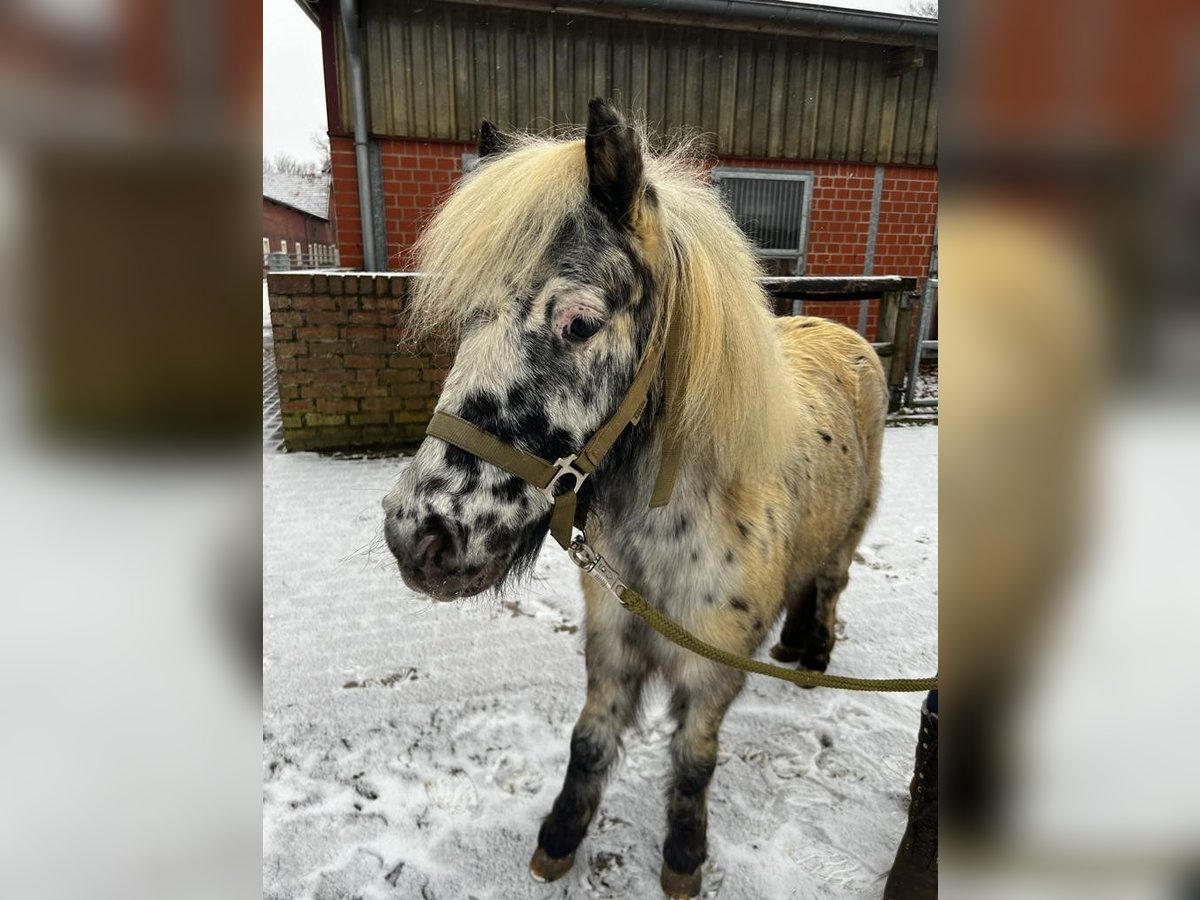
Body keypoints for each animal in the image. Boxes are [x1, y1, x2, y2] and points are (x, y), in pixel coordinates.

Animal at [384, 100, 892, 900]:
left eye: (579, 322)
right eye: (468, 320)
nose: (419, 536)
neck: (668, 535)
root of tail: (850, 335)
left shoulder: (710, 673)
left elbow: (694, 758)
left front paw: (683, 857)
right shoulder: (612, 647)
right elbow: (590, 742)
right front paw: (559, 840)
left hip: (852, 531)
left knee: (831, 583)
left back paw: (812, 655)